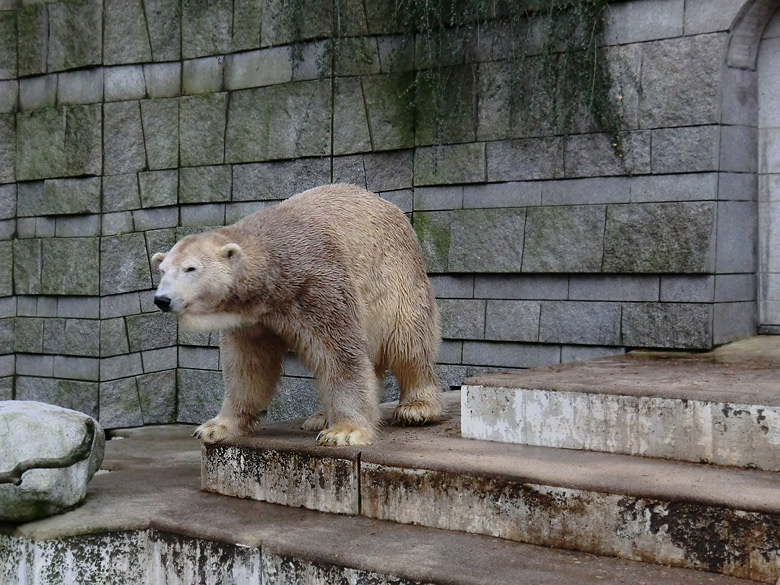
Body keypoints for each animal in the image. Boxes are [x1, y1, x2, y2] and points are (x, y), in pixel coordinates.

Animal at [152, 185, 444, 444]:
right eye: (162, 270)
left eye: (190, 268)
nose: (162, 299)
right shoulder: (251, 320)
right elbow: (247, 366)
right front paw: (215, 426)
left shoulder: (319, 284)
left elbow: (341, 354)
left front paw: (344, 432)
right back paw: (320, 416)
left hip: (396, 277)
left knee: (407, 341)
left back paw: (416, 407)